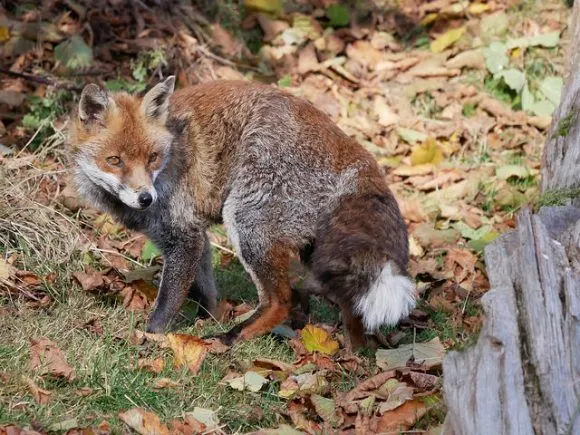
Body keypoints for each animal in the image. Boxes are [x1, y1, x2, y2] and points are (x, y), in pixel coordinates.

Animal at [70, 76, 414, 350]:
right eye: (115, 160)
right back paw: (354, 353)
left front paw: (151, 337)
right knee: (347, 301)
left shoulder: (183, 236)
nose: (145, 198)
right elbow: (205, 289)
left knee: (281, 301)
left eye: (152, 157)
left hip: (246, 223)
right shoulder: (193, 234)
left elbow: (169, 300)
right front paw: (207, 320)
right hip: (314, 250)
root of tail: (352, 150)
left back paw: (231, 337)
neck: (172, 157)